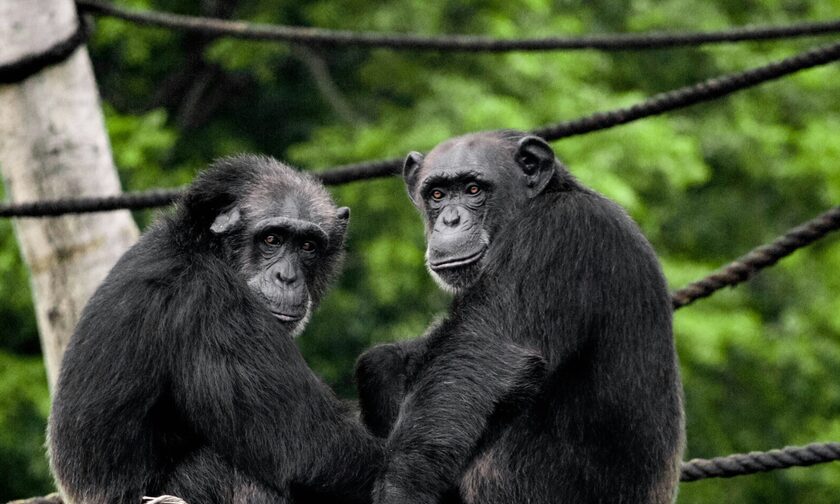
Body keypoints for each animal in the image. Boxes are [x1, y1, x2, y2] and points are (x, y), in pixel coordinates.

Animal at [47, 157, 382, 504]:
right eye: (272, 239)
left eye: (308, 245)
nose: (287, 277)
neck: (204, 247)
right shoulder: (214, 306)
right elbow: (315, 448)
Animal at [358, 131, 684, 504]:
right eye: (437, 194)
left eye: (473, 189)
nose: (450, 220)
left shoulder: (554, 234)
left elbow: (482, 358)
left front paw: (401, 489)